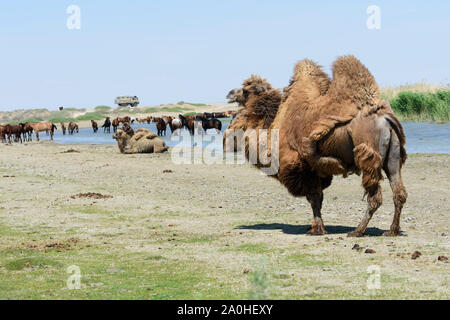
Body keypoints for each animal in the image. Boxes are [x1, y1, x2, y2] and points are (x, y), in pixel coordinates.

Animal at [225, 55, 408, 236]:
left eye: (245, 90)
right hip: (392, 156)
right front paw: (316, 227)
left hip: (368, 153)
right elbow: (318, 198)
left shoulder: (302, 166)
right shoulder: (317, 170)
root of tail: (386, 118)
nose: (229, 93)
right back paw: (392, 230)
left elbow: (314, 198)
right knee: (399, 192)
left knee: (374, 196)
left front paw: (316, 228)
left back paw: (357, 231)